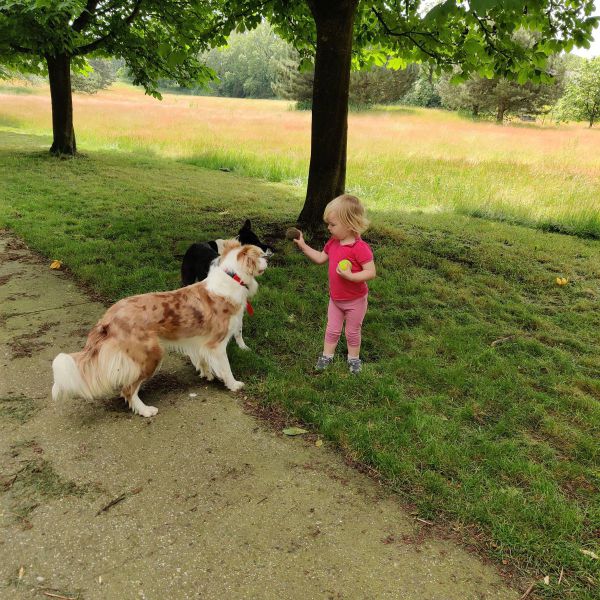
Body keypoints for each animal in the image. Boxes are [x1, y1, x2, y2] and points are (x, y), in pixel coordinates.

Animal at [51, 239, 268, 418]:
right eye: (260, 254)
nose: (268, 258)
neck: (232, 278)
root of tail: (108, 317)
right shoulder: (217, 344)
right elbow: (226, 368)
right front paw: (233, 384)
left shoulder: (199, 340)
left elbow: (202, 359)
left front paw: (206, 373)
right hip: (152, 354)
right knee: (128, 390)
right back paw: (145, 410)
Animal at [178, 219, 272, 350]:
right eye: (256, 243)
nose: (271, 250)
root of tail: (195, 244)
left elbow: (239, 330)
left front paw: (243, 347)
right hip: (188, 278)